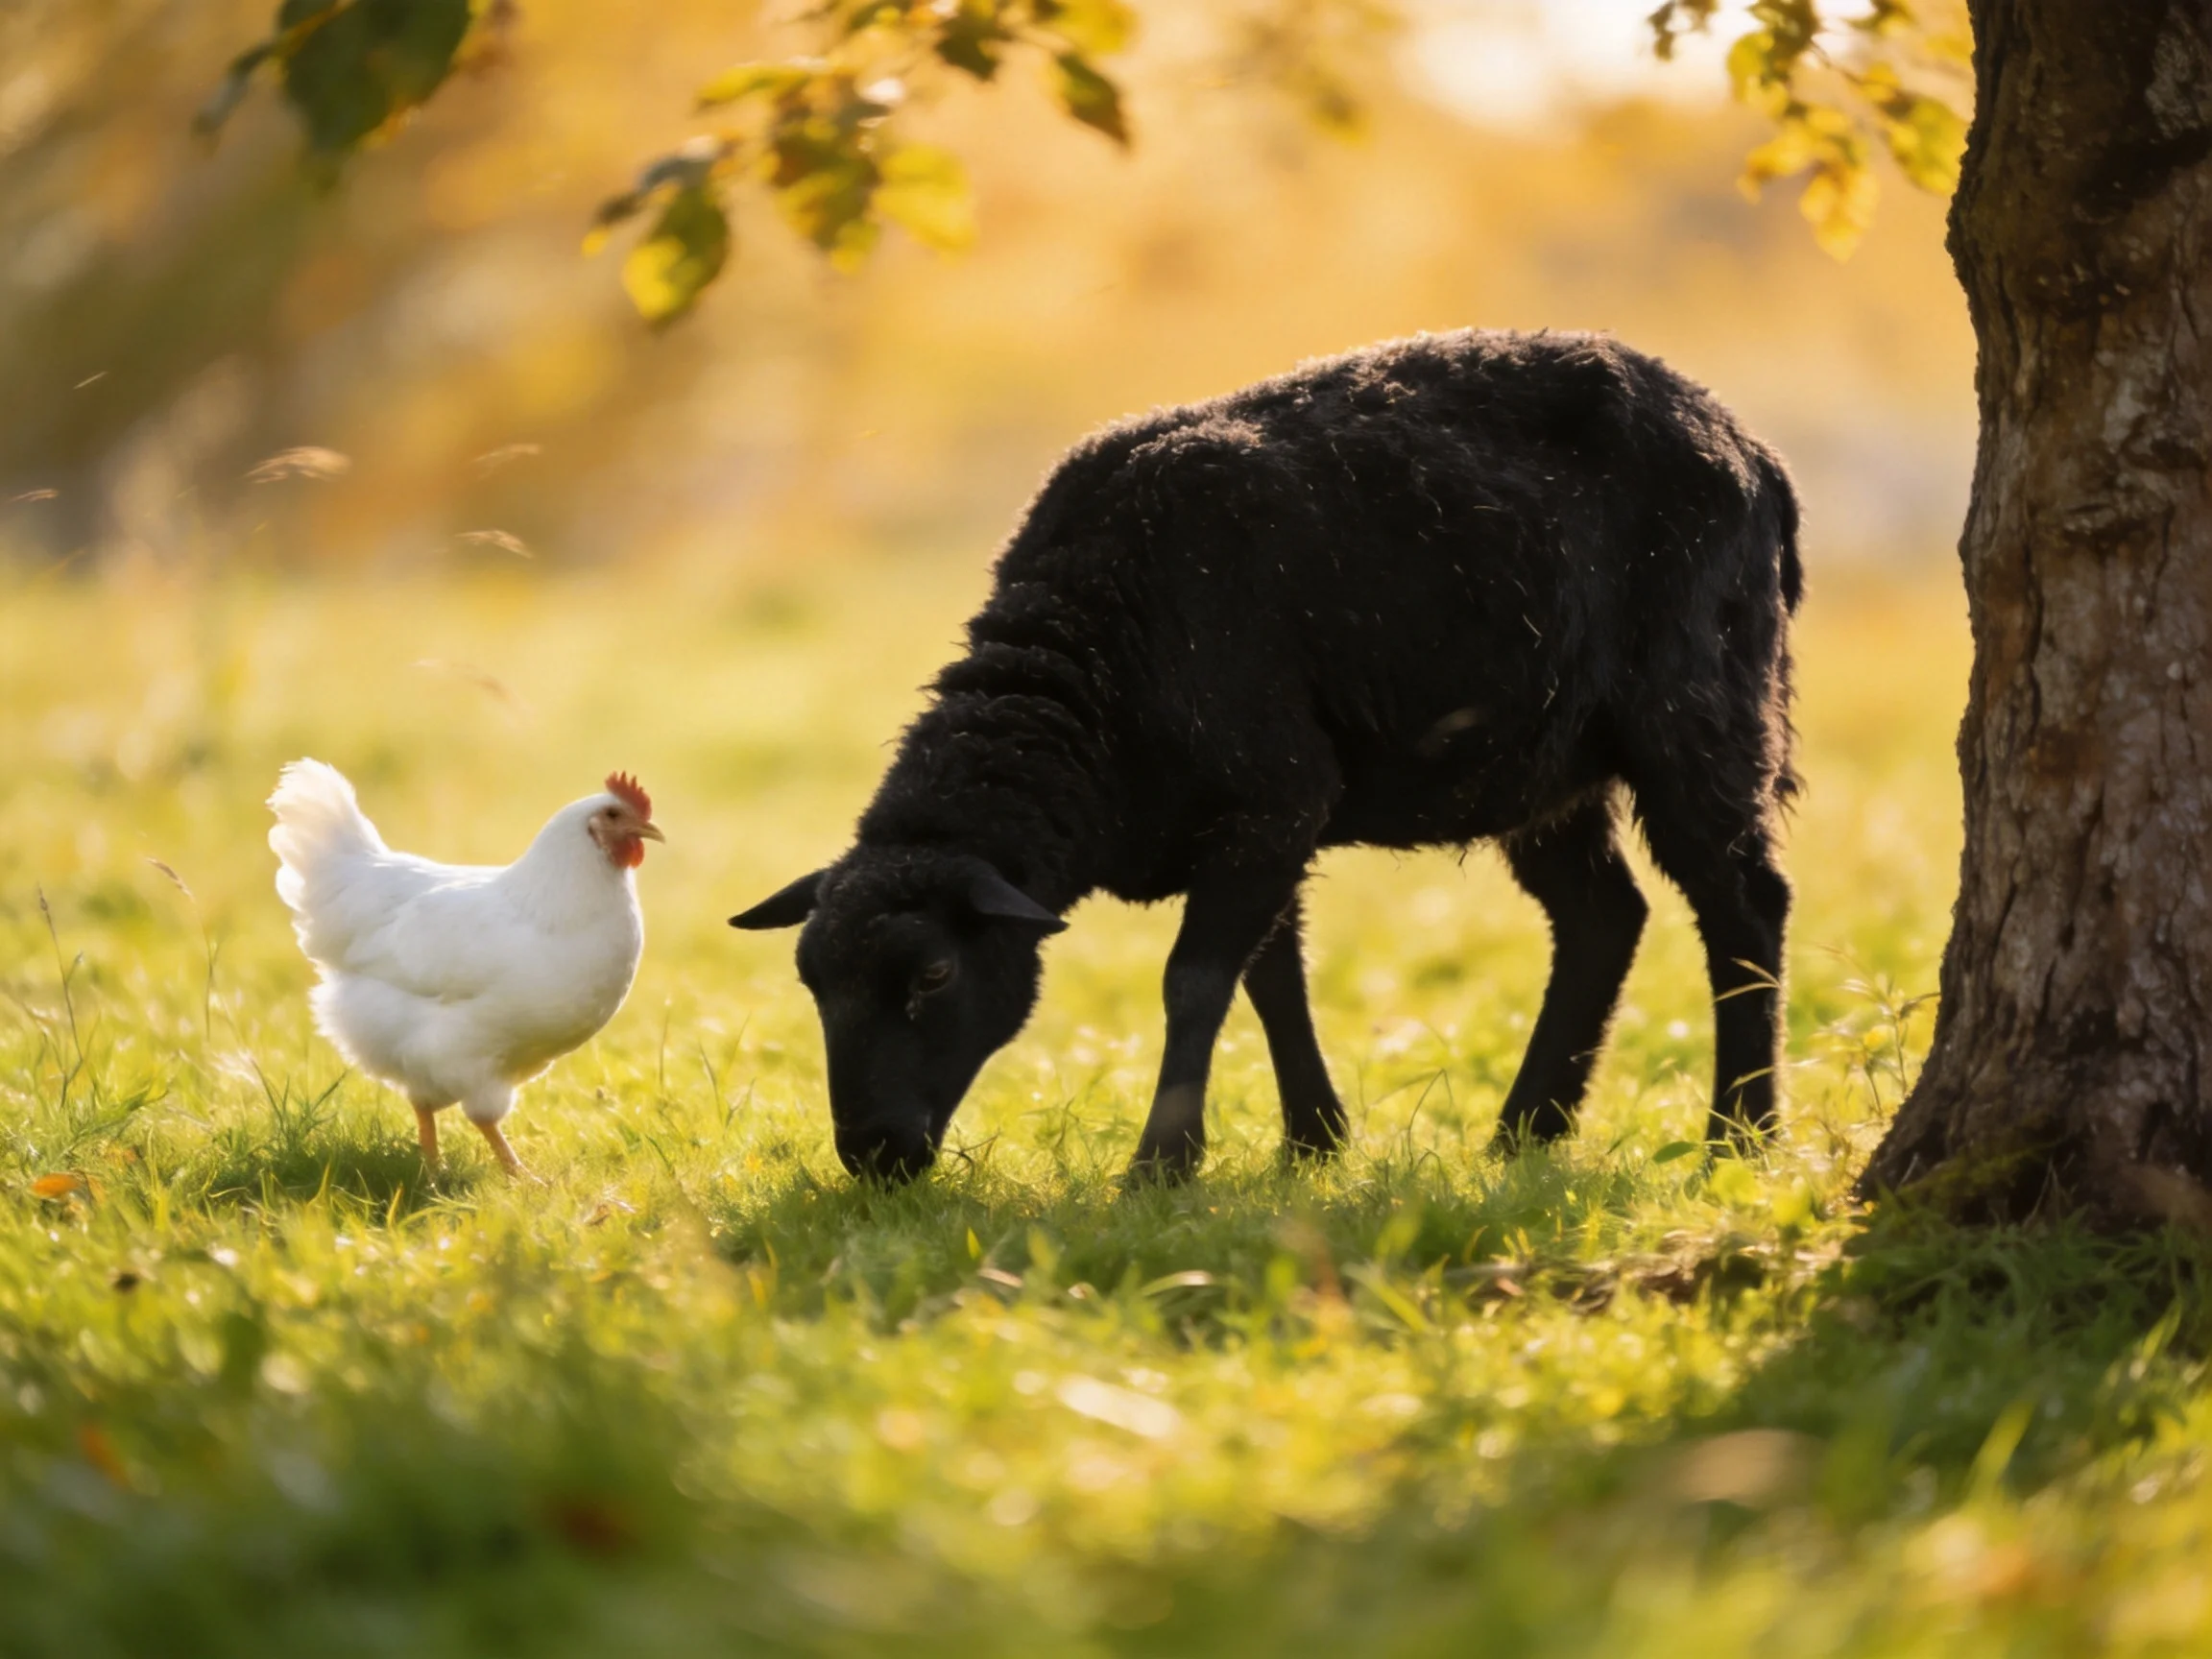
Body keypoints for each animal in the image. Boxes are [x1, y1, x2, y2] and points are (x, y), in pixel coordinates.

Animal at [732, 328, 1802, 1183]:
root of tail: (1751, 449)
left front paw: (1162, 1168)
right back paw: (1525, 1133)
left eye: (933, 978)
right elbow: (1270, 979)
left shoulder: (1273, 799)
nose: (872, 1157)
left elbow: (1197, 979)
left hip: (1697, 710)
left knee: (1744, 905)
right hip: (1541, 766)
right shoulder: (1256, 819)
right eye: (811, 982)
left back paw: (1739, 1138)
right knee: (1601, 918)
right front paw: (1313, 1143)